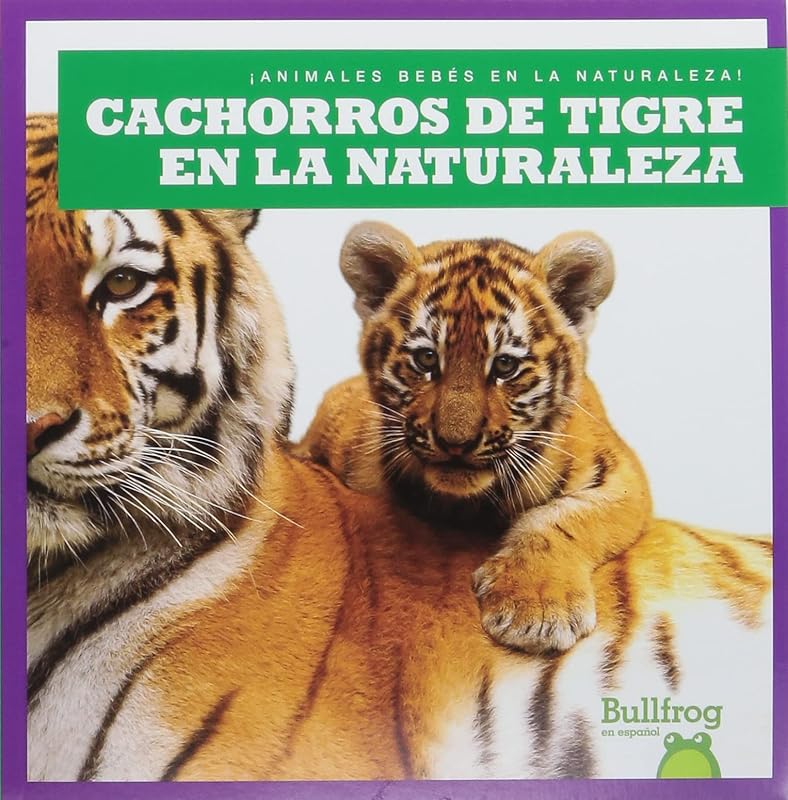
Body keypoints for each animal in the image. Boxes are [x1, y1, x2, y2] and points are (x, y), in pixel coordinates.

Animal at [299, 221, 653, 653]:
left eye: (504, 366)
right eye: (426, 359)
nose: (456, 443)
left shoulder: (622, 477)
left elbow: (565, 518)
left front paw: (536, 608)